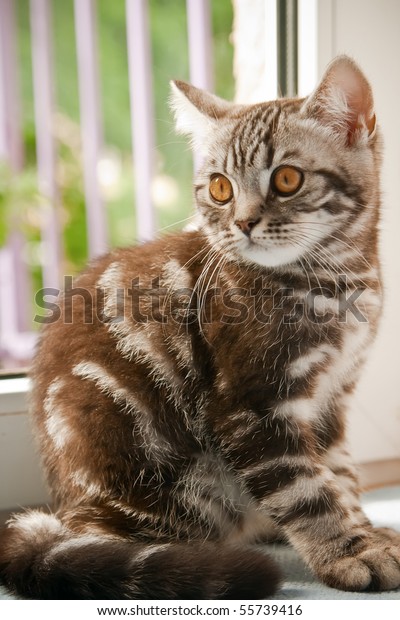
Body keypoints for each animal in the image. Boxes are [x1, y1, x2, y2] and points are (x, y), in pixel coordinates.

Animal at [0, 55, 400, 600]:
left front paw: (365, 532)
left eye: (287, 179)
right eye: (220, 188)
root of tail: (66, 506)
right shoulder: (249, 405)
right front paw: (349, 553)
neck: (336, 282)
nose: (243, 223)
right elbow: (306, 489)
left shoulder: (331, 400)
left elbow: (340, 474)